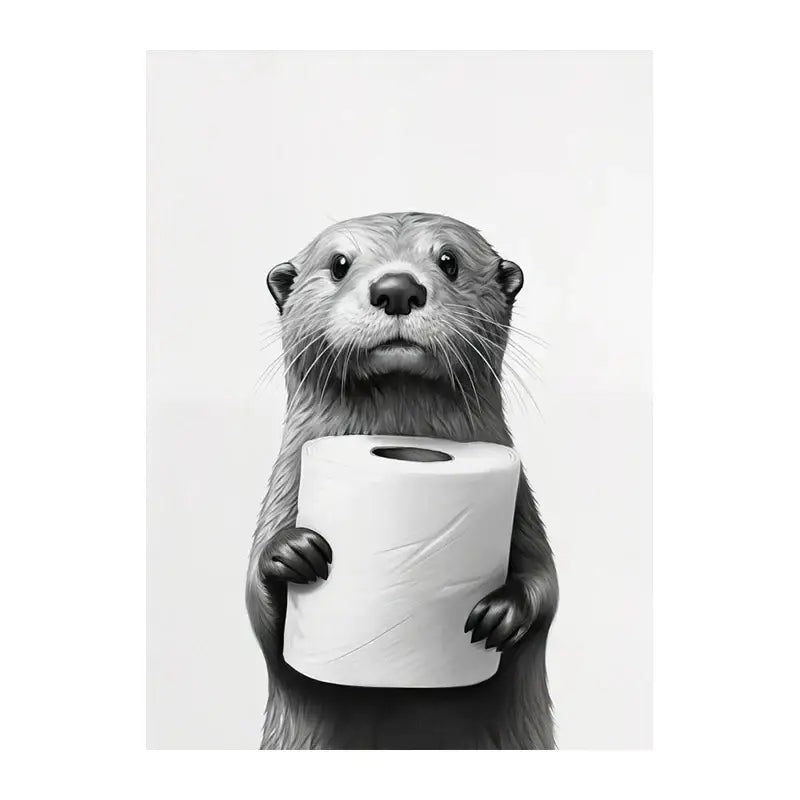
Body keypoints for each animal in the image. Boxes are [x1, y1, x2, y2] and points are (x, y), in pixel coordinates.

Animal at [246, 212, 558, 749]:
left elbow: (548, 585)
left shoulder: (521, 504)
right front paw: (290, 553)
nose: (397, 288)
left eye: (449, 260)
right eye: (339, 263)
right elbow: (258, 610)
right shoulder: (283, 492)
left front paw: (503, 613)